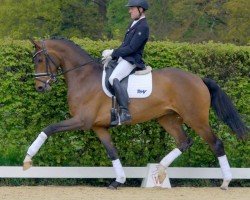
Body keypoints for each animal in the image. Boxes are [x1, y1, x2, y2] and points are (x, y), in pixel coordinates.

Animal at [23, 38, 248, 190]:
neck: (83, 77)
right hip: (166, 118)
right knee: (184, 141)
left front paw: (27, 160)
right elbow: (112, 152)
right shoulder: (98, 126)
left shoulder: (81, 121)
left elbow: (48, 129)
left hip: (196, 119)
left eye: (40, 59)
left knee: (215, 143)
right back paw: (159, 171)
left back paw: (225, 181)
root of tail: (198, 78)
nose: (40, 87)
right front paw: (118, 181)